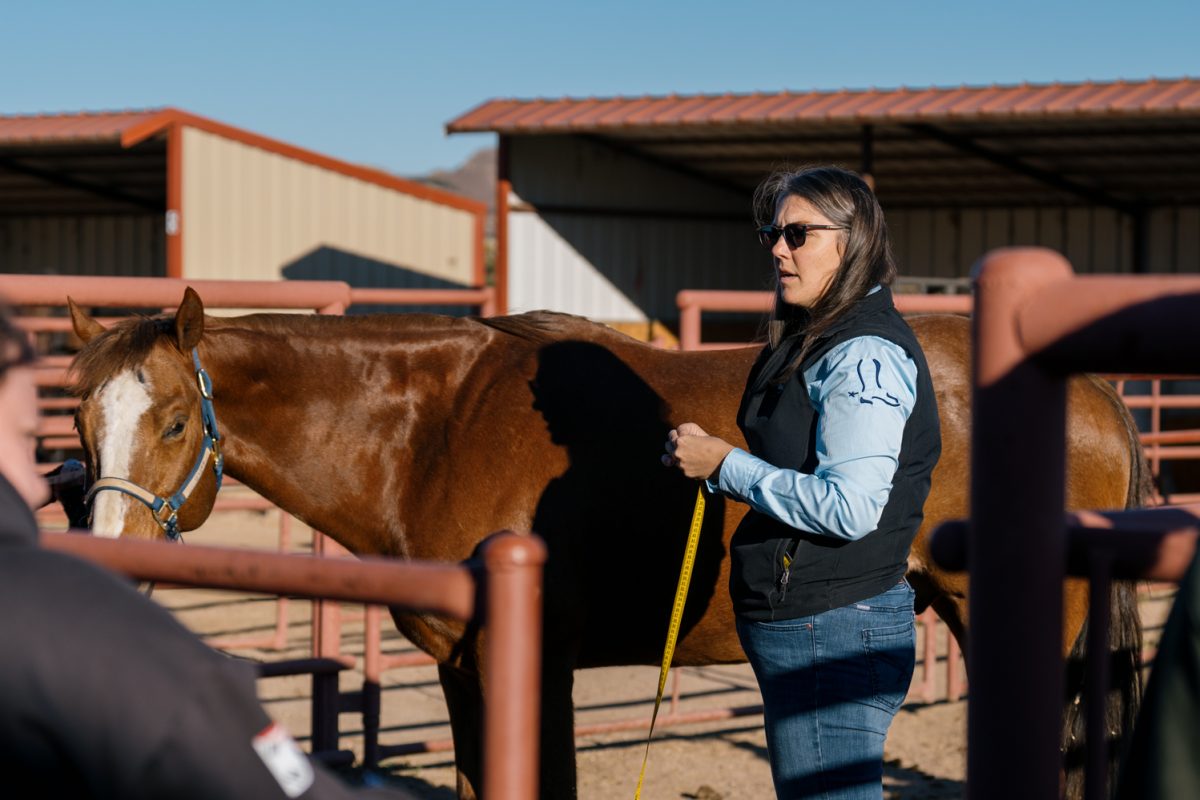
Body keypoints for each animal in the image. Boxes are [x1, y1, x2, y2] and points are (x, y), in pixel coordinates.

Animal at [65, 289, 1142, 800]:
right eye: (78, 418)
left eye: (172, 423)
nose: (110, 555)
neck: (437, 429)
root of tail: (1093, 391)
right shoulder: (468, 666)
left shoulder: (535, 661)